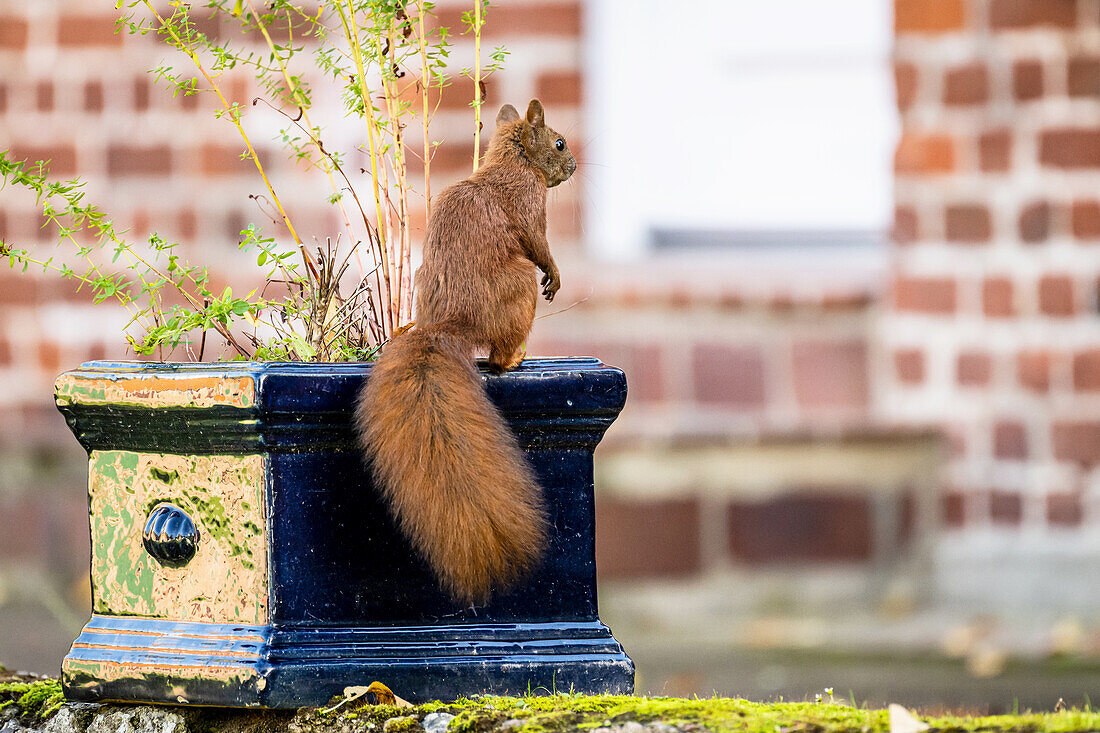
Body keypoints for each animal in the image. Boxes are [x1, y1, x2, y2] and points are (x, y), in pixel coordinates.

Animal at [356, 100, 580, 603]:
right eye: (558, 143)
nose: (575, 166)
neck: (511, 162)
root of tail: (448, 325)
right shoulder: (528, 204)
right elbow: (539, 243)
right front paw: (556, 276)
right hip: (519, 289)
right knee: (498, 353)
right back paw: (513, 358)